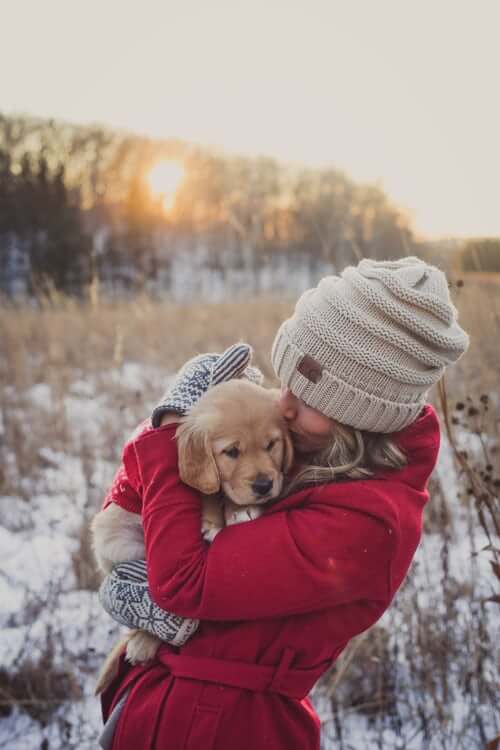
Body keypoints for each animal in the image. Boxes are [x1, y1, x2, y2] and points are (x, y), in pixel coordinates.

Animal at [92, 382, 292, 692]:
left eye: (271, 445)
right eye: (231, 452)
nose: (263, 485)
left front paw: (240, 509)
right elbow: (206, 489)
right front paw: (214, 519)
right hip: (115, 539)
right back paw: (144, 641)